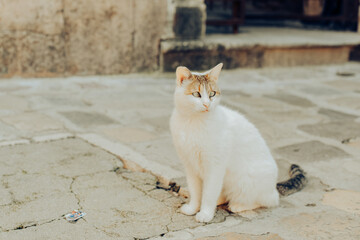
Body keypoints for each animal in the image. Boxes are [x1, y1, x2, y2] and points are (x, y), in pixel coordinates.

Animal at [170, 62, 306, 222]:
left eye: (212, 94)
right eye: (196, 94)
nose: (207, 105)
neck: (193, 121)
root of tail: (273, 187)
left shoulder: (215, 166)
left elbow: (209, 193)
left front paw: (205, 214)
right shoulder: (190, 166)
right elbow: (196, 192)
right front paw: (193, 208)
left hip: (244, 182)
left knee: (267, 200)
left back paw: (237, 205)